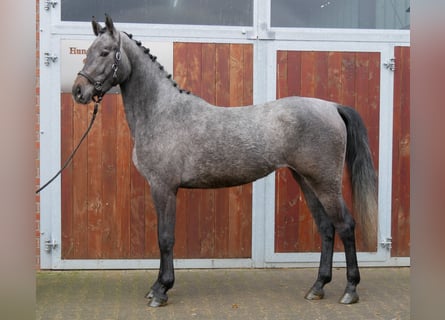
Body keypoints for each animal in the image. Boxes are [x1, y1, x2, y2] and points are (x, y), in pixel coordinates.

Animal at [72, 15, 374, 308]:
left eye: (105, 52)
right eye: (87, 51)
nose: (78, 90)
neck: (161, 112)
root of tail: (332, 106)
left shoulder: (163, 188)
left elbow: (165, 238)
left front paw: (161, 290)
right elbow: (163, 238)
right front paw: (157, 286)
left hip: (325, 183)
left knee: (345, 226)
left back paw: (350, 290)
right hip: (306, 181)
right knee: (326, 228)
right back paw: (318, 287)